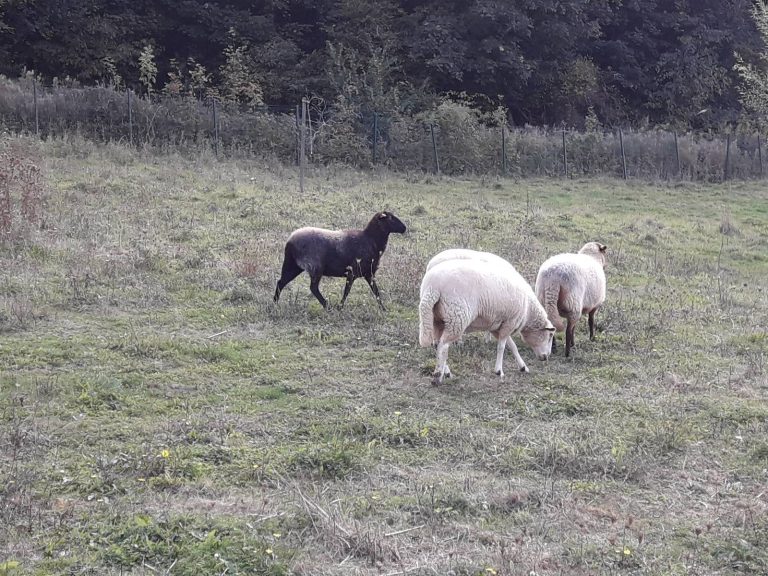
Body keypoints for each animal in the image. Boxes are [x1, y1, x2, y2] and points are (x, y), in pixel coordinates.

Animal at [273, 211, 407, 310]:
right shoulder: (352, 272)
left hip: (293, 265)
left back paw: (275, 304)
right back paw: (327, 306)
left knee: (281, 282)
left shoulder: (369, 274)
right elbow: (347, 291)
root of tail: (290, 240)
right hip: (315, 267)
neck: (370, 239)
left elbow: (376, 292)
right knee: (313, 288)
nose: (404, 228)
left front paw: (383, 309)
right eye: (391, 218)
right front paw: (340, 307)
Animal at [419, 257, 555, 385]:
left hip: (437, 319)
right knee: (443, 346)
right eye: (550, 335)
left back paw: (445, 373)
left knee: (437, 345)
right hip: (456, 318)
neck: (528, 310)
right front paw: (499, 371)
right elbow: (501, 347)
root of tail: (432, 287)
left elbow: (512, 346)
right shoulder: (510, 322)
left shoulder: (498, 326)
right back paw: (437, 377)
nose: (546, 357)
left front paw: (523, 367)